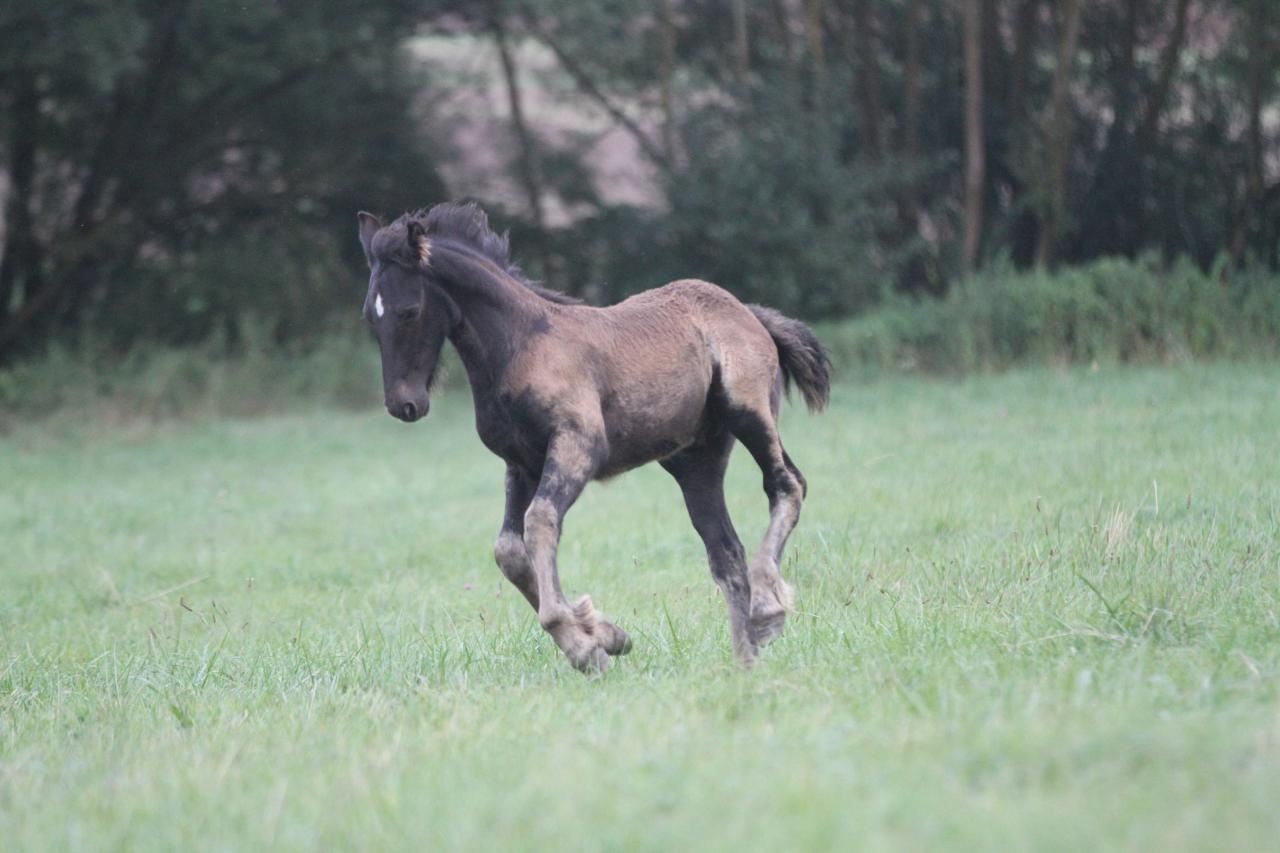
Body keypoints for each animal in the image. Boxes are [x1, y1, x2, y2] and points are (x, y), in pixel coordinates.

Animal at [358, 201, 829, 671]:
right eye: (369, 316)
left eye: (409, 311)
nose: (403, 404)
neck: (521, 345)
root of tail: (750, 313)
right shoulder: (520, 463)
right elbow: (509, 551)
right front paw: (603, 634)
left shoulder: (578, 445)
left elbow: (540, 522)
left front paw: (584, 646)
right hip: (696, 460)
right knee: (725, 549)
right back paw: (746, 660)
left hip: (747, 413)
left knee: (787, 484)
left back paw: (767, 608)